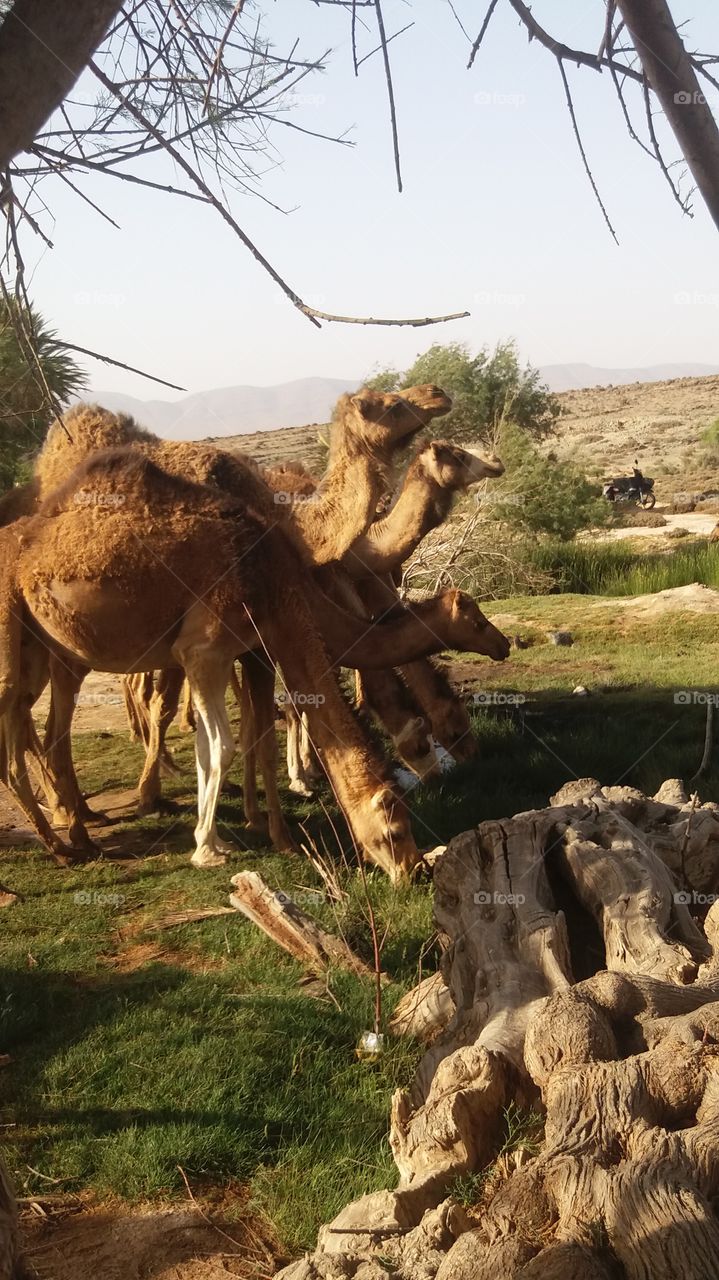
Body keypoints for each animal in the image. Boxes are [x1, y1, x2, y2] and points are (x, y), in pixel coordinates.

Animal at [1, 446, 509, 878]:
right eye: (395, 831)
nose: (413, 871)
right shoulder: (206, 651)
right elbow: (228, 743)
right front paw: (211, 848)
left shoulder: (245, 650)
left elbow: (235, 740)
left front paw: (253, 829)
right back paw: (66, 843)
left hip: (54, 653)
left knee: (47, 731)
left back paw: (78, 831)